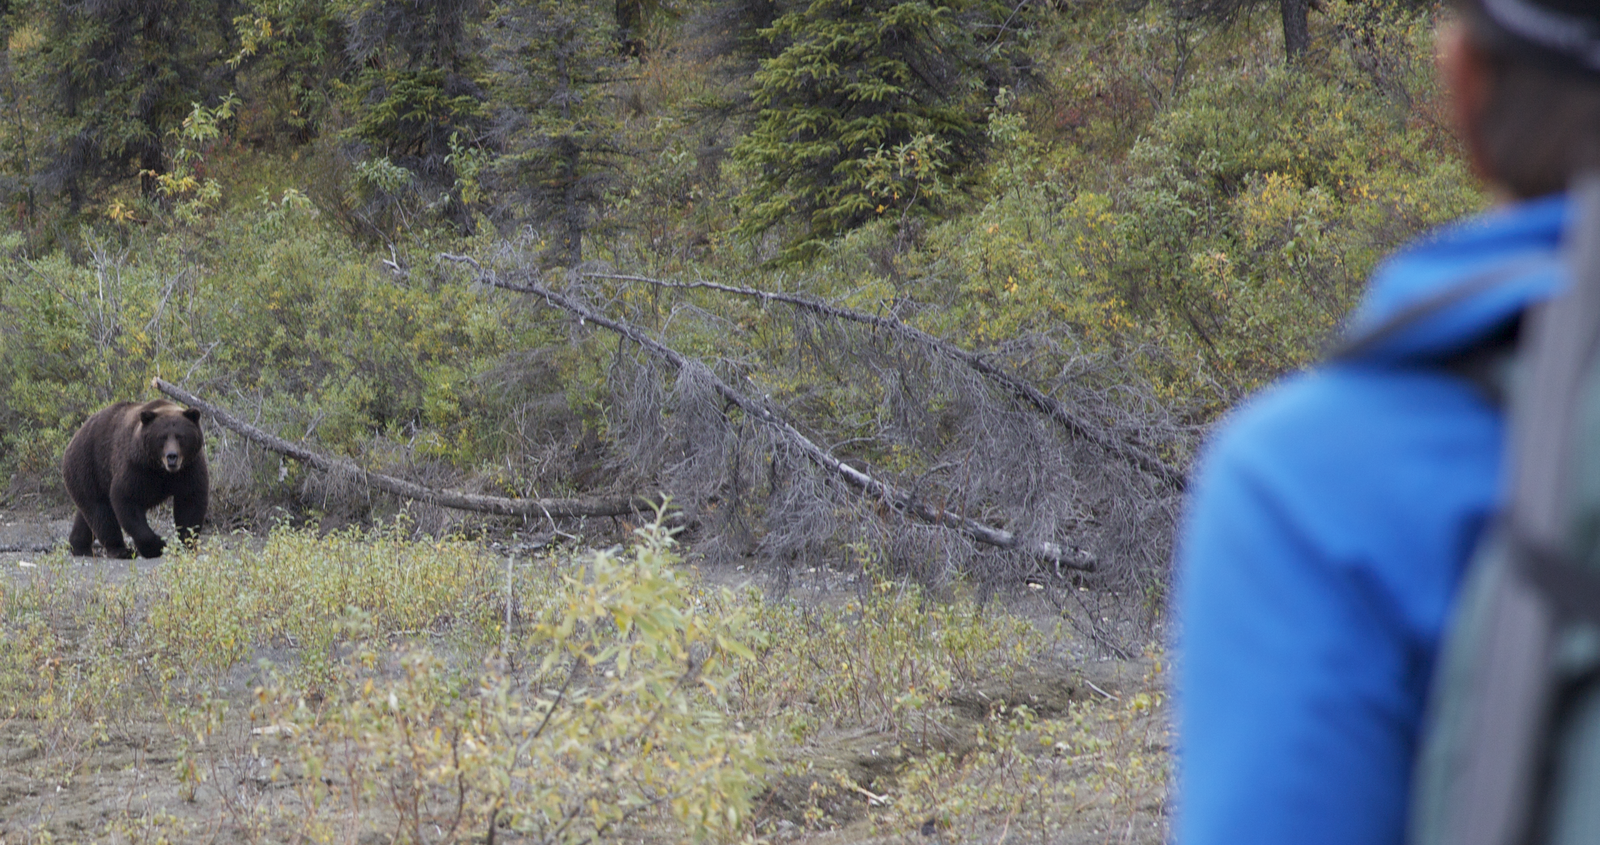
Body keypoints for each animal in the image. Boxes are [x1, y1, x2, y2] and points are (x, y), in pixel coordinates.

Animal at [62, 397, 208, 559]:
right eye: (162, 437)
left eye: (180, 436)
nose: (172, 456)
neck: (161, 470)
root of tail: (72, 440)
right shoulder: (137, 466)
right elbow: (126, 498)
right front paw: (157, 545)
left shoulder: (189, 468)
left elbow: (190, 502)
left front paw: (186, 544)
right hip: (89, 467)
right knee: (100, 511)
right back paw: (121, 550)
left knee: (87, 515)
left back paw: (79, 546)